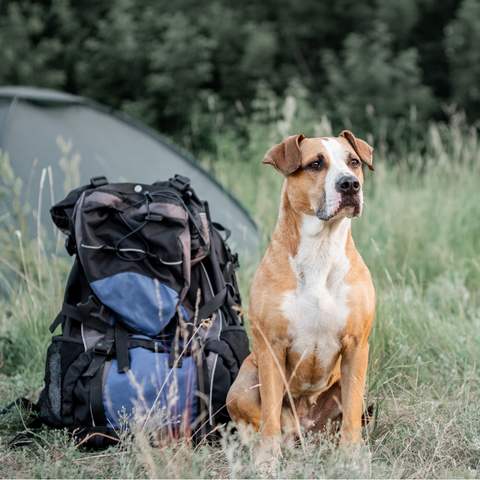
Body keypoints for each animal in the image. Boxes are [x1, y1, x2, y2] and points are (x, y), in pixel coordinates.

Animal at [227, 130, 376, 462]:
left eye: (354, 162)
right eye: (315, 164)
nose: (350, 184)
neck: (321, 249)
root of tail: (303, 427)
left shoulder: (357, 345)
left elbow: (351, 414)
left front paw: (351, 460)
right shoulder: (271, 346)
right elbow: (269, 414)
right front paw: (266, 463)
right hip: (243, 383)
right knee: (260, 421)